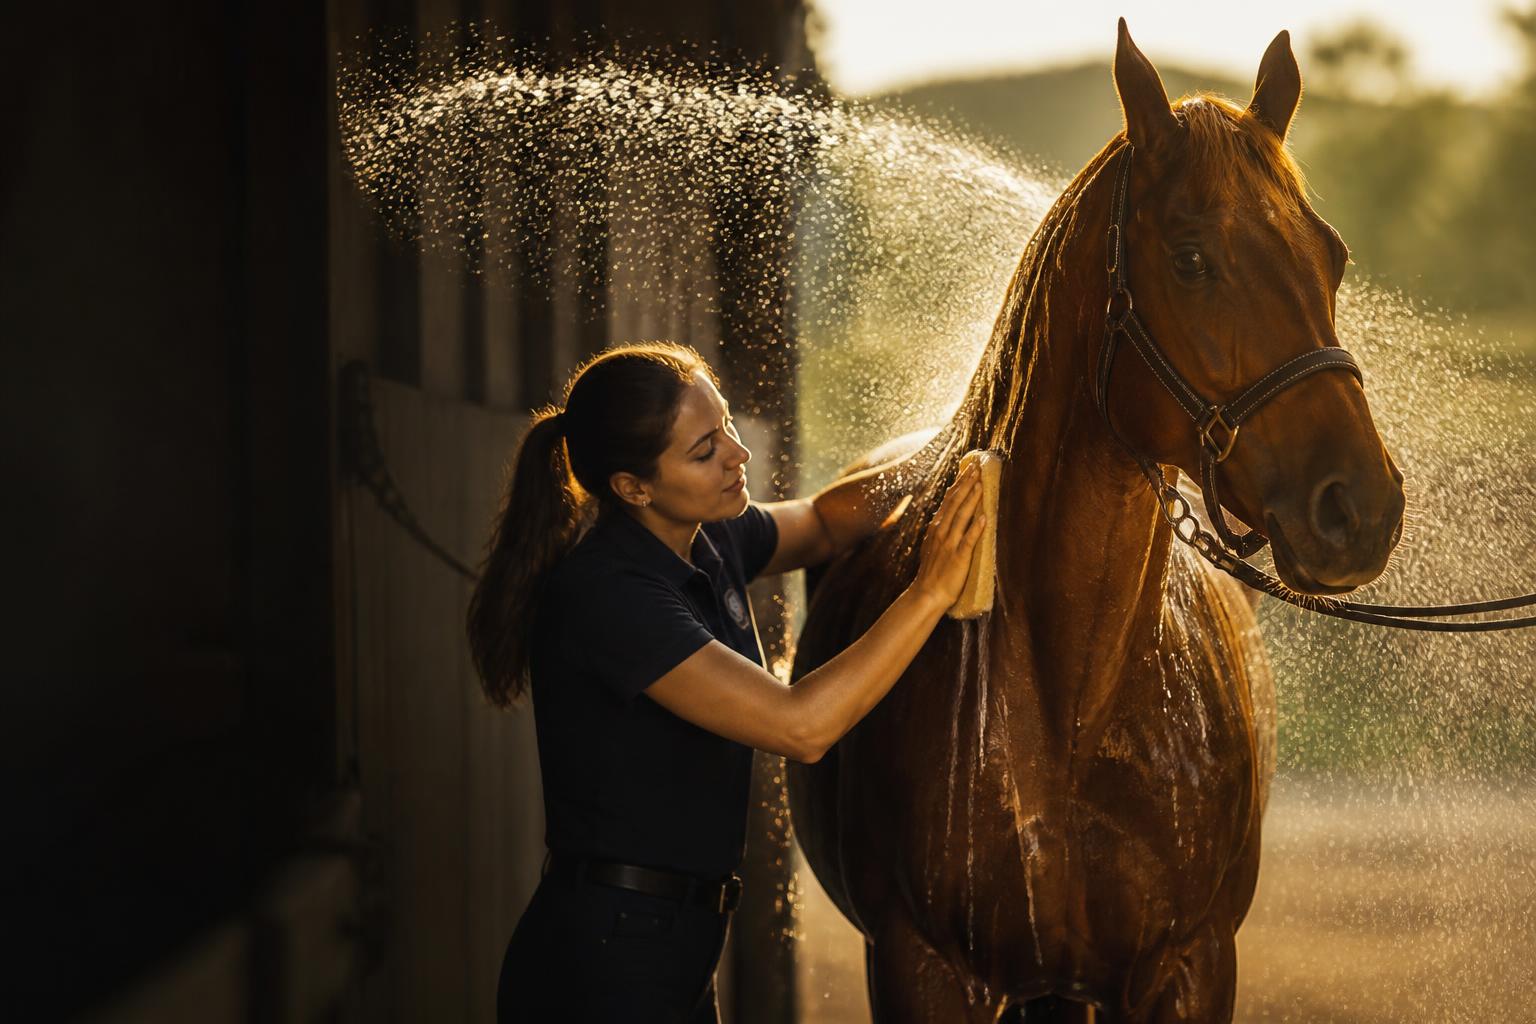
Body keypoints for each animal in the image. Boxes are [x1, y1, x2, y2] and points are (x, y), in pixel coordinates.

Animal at [788, 21, 1406, 1023]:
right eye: (1190, 257)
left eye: (1333, 255)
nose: (1362, 507)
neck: (1073, 700)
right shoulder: (923, 966)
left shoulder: (1190, 963)